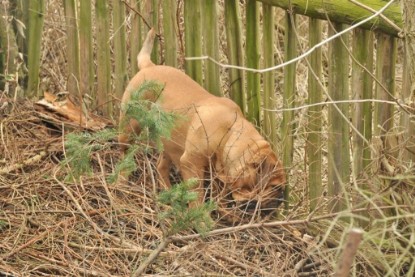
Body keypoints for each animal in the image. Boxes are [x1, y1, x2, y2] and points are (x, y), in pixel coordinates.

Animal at [118, 28, 286, 218]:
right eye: (275, 186)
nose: (281, 199)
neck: (229, 133)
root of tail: (149, 66)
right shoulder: (191, 164)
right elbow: (197, 194)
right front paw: (201, 217)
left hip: (169, 142)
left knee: (161, 166)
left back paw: (168, 193)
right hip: (130, 125)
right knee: (125, 154)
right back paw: (121, 182)